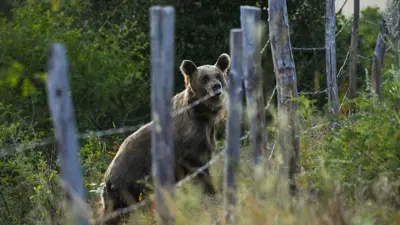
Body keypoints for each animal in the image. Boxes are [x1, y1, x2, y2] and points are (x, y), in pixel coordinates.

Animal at [98, 53, 231, 224]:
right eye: (204, 78)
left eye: (218, 75)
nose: (216, 87)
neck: (202, 115)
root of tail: (107, 176)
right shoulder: (189, 139)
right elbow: (199, 167)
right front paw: (211, 192)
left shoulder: (205, 134)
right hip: (126, 184)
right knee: (115, 212)